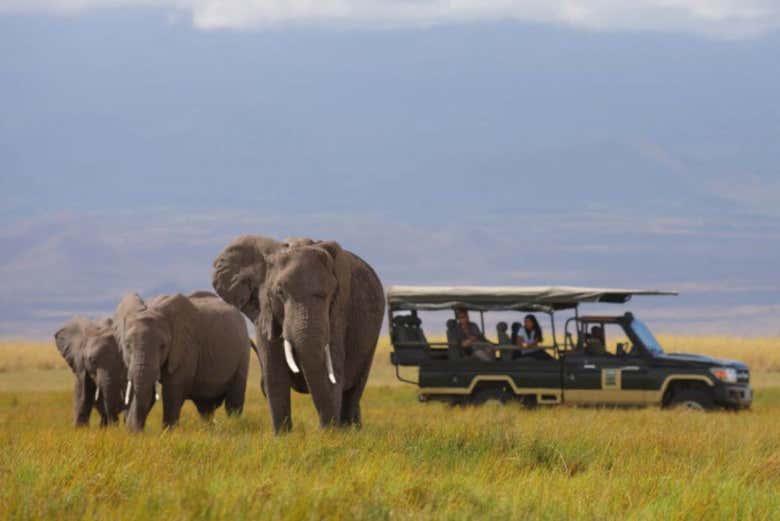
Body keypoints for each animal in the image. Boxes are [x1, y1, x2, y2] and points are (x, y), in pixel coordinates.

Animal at [212, 234, 386, 432]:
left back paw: (351, 431)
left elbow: (332, 371)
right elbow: (274, 374)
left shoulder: (339, 312)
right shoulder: (264, 312)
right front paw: (283, 436)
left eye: (330, 294)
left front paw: (330, 435)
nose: (324, 429)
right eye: (280, 292)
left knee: (355, 389)